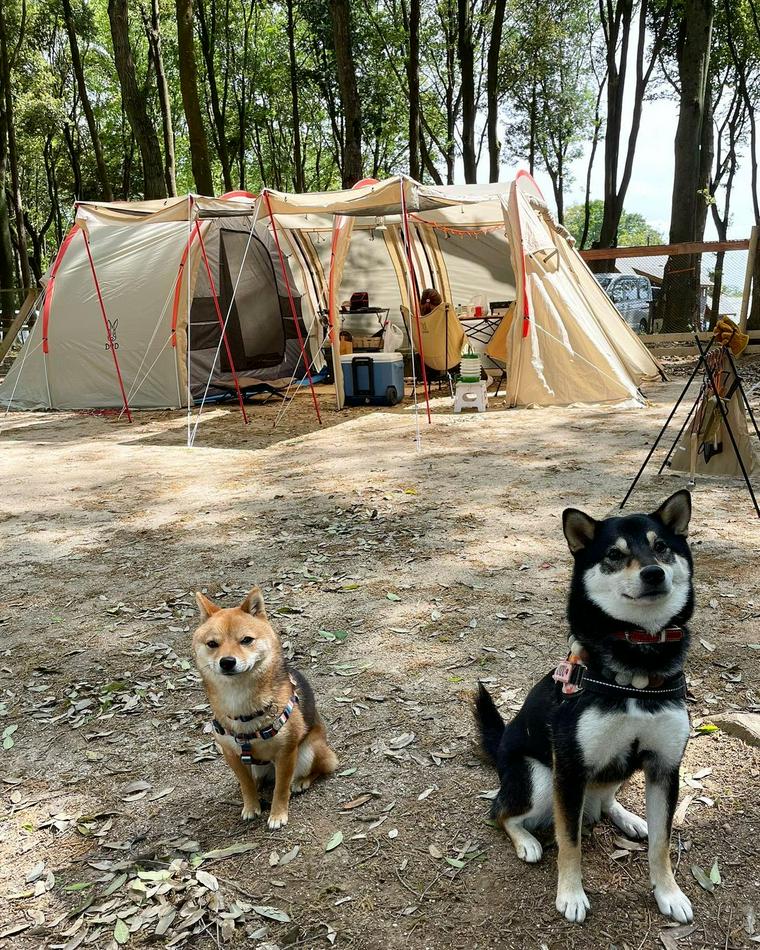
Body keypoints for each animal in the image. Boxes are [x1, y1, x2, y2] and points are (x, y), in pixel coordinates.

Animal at [193, 588, 338, 832]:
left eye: (246, 640)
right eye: (212, 644)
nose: (227, 661)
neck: (240, 703)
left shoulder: (286, 753)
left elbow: (281, 788)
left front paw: (278, 814)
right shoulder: (232, 754)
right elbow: (245, 785)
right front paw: (251, 807)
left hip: (309, 752)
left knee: (321, 768)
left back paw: (302, 781)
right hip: (254, 765)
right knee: (257, 780)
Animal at [476, 494, 696, 924]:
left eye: (662, 547)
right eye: (614, 554)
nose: (654, 574)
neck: (638, 657)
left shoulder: (664, 766)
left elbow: (662, 843)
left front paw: (669, 894)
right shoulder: (570, 770)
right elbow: (569, 840)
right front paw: (571, 895)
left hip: (614, 772)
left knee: (607, 799)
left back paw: (629, 819)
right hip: (540, 780)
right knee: (500, 813)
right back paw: (526, 841)